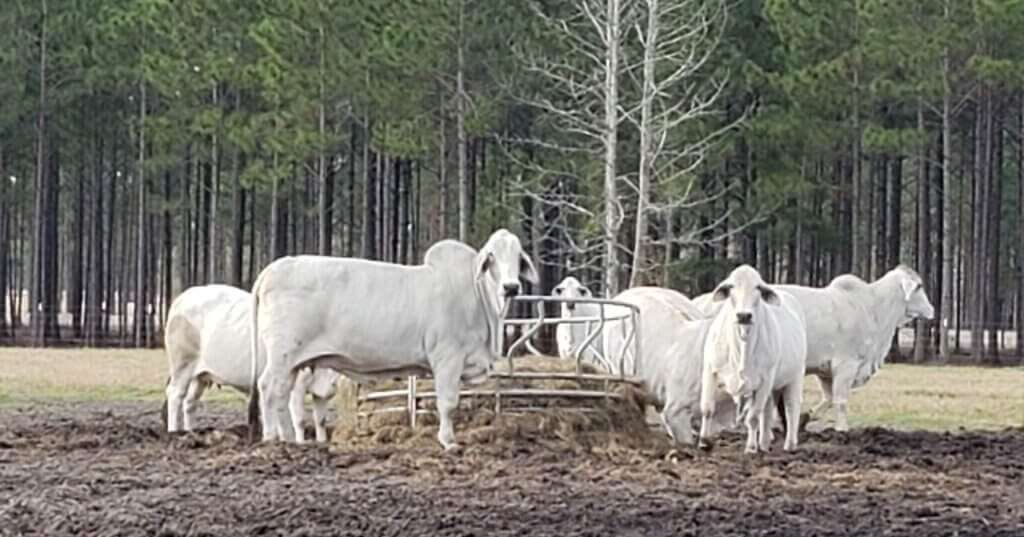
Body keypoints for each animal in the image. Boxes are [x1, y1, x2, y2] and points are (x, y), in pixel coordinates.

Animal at [163, 284, 339, 440]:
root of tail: (185, 296)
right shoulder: (297, 386)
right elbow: (299, 420)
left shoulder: (320, 392)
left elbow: (321, 421)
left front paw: (321, 442)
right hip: (182, 364)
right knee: (175, 395)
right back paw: (173, 432)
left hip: (200, 376)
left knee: (189, 401)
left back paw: (190, 432)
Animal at [248, 229, 540, 448]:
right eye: (491, 257)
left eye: (518, 256)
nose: (511, 287)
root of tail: (273, 269)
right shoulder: (448, 358)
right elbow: (448, 403)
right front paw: (448, 441)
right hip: (282, 354)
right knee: (268, 388)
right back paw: (271, 437)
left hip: (292, 362)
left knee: (282, 394)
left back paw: (287, 439)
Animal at [696, 264, 806, 452]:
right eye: (731, 286)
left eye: (758, 288)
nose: (744, 316)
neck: (742, 347)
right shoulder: (710, 370)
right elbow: (707, 408)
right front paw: (704, 441)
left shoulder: (765, 380)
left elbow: (753, 416)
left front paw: (751, 447)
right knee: (767, 411)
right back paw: (764, 442)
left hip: (795, 376)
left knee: (791, 407)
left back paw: (789, 444)